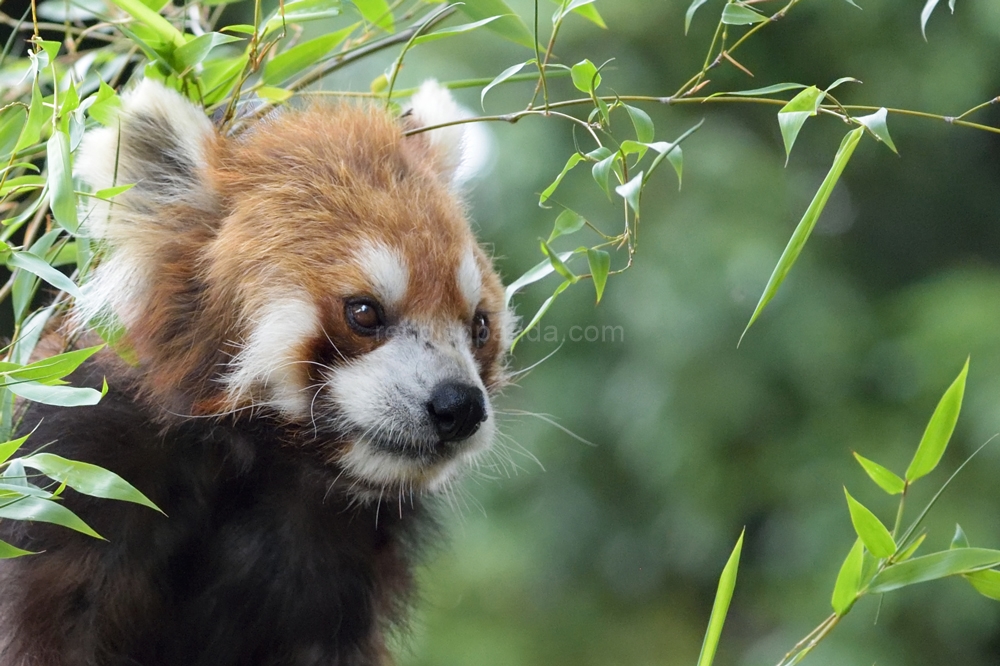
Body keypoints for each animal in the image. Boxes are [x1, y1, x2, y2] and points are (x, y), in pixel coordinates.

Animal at [0, 79, 512, 664]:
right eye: (363, 313)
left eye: (479, 326)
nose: (459, 406)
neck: (257, 456)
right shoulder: (74, 476)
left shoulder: (330, 566)